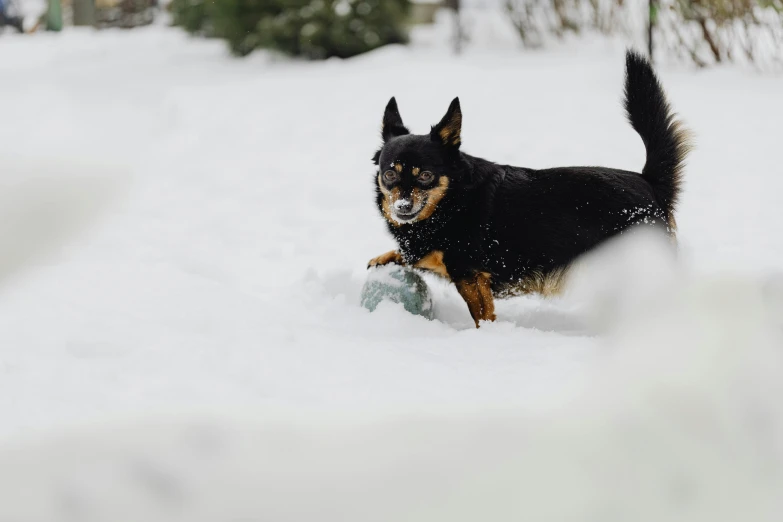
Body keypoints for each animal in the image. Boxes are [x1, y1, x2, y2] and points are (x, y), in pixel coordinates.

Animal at [370, 49, 688, 324]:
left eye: (425, 176)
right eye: (389, 175)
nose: (402, 207)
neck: (452, 201)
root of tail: (649, 182)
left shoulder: (470, 277)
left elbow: (481, 316)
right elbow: (410, 256)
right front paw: (384, 256)